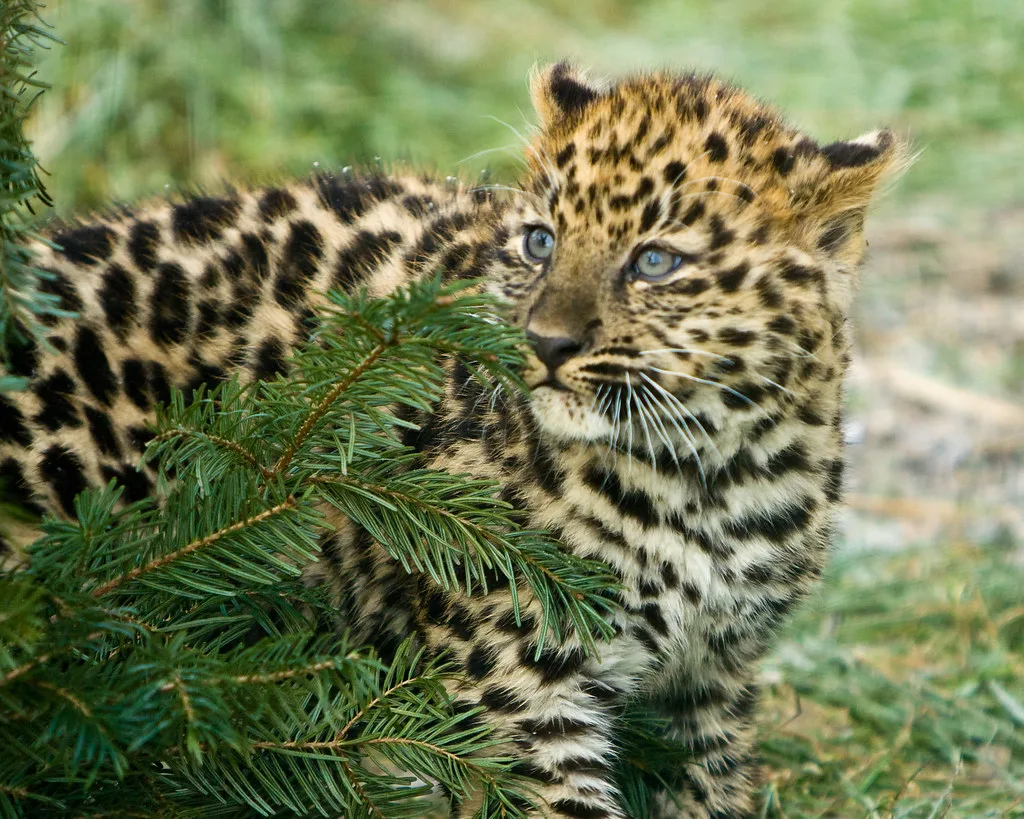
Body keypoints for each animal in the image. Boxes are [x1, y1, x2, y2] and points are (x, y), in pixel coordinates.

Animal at [0, 63, 905, 817]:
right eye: (541, 241)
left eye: (654, 262)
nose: (545, 343)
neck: (711, 476)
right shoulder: (520, 687)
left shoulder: (714, 679)